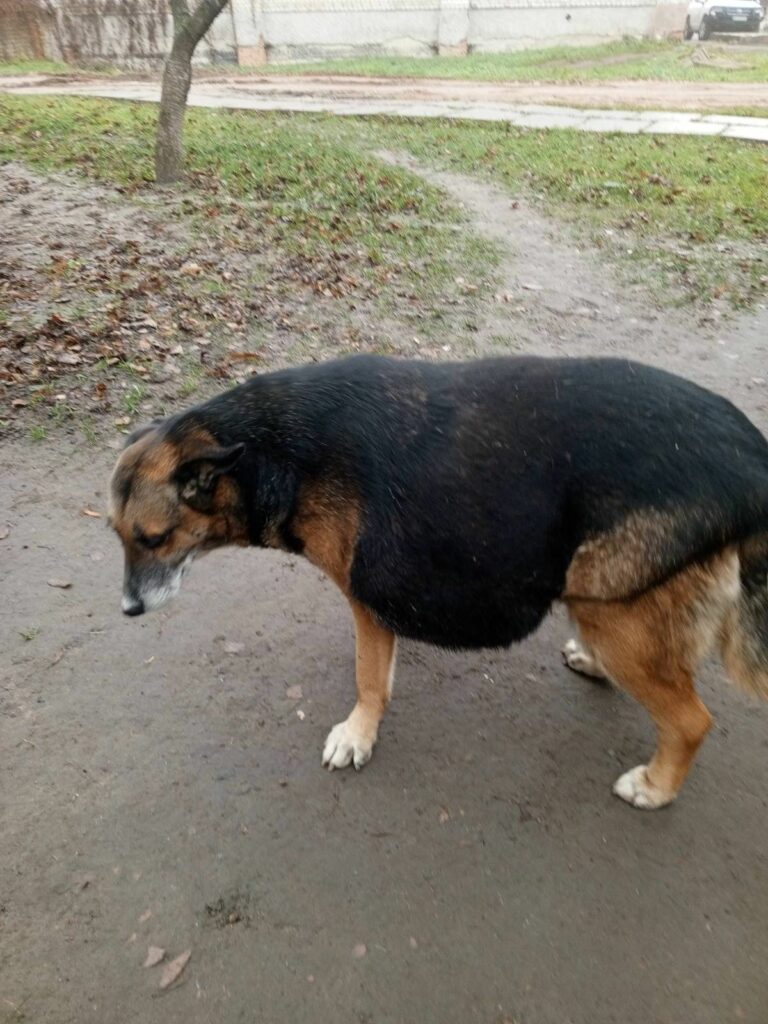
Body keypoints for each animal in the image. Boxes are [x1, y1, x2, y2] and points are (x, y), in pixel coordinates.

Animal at [109, 355, 768, 810]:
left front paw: (359, 734)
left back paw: (656, 786)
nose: (128, 610)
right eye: (117, 535)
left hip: (609, 605)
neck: (275, 453)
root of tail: (753, 465)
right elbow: (381, 670)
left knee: (690, 721)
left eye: (153, 539)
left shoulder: (364, 598)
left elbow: (368, 679)